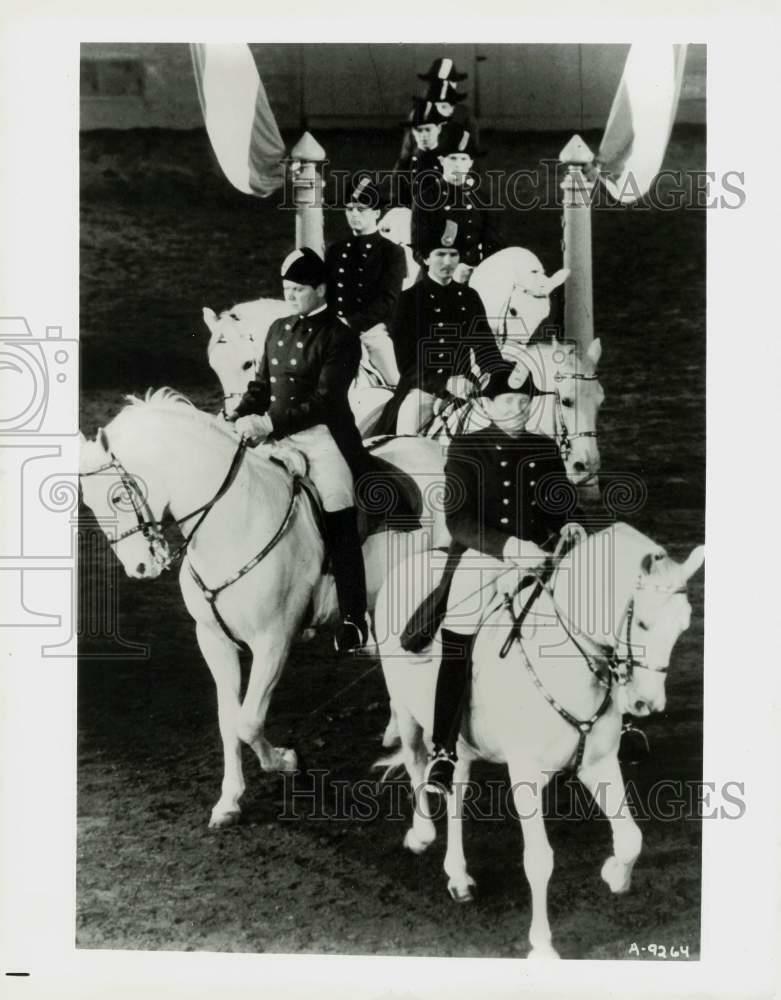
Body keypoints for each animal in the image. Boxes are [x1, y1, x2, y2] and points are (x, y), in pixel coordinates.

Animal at [79, 390, 448, 828]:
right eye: (87, 503)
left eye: (118, 496)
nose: (140, 568)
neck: (234, 521)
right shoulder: (214, 641)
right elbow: (228, 721)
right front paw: (229, 800)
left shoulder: (274, 641)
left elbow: (248, 721)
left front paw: (287, 761)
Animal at [372, 520, 700, 956]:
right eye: (643, 623)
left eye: (684, 627)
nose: (647, 703)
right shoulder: (525, 775)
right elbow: (540, 860)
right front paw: (543, 946)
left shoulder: (598, 763)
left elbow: (632, 838)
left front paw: (615, 874)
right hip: (407, 710)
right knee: (415, 763)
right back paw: (421, 836)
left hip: (460, 743)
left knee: (455, 789)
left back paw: (458, 875)